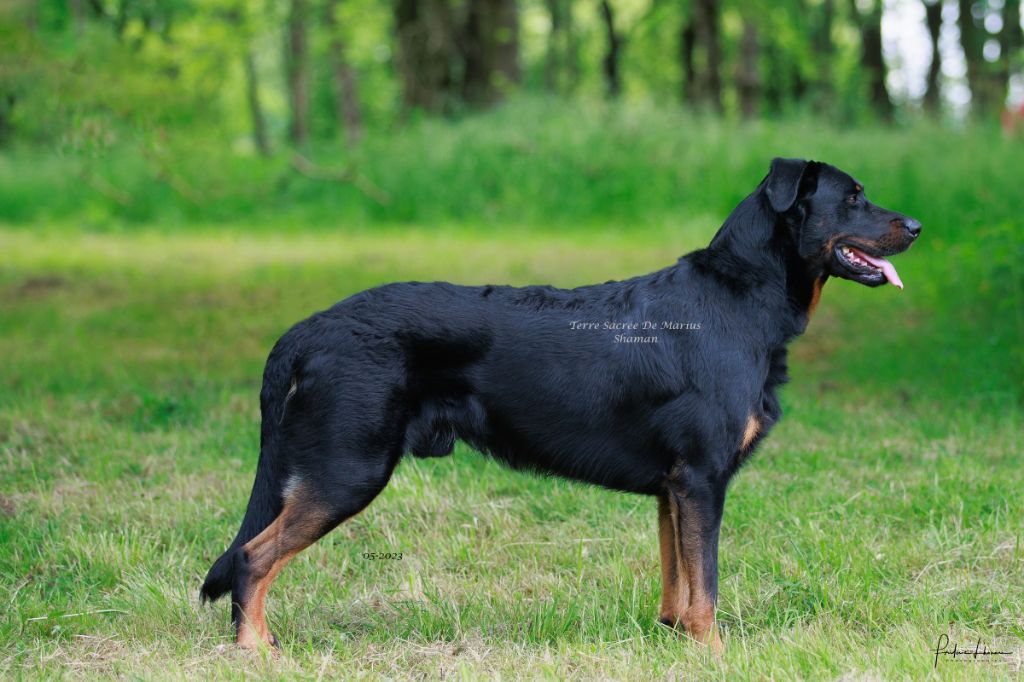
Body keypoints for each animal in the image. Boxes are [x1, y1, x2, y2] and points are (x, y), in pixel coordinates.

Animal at [197, 156, 921, 651]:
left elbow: (678, 579)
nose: (916, 226)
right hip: (348, 469)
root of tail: (303, 332)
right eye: (852, 198)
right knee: (254, 557)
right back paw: (257, 650)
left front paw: (672, 638)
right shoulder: (702, 477)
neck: (742, 295)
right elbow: (707, 585)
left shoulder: (673, 486)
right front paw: (714, 654)